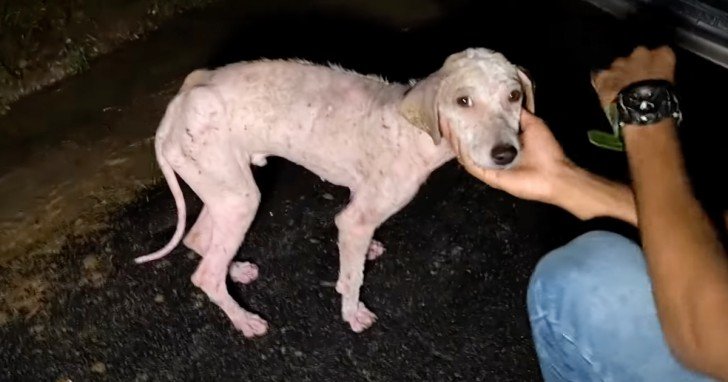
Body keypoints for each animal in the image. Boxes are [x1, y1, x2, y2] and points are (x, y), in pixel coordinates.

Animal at [135, 47, 536, 338]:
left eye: (514, 95)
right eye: (462, 101)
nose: (506, 154)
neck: (414, 130)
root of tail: (175, 107)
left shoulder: (358, 207)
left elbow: (354, 255)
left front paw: (365, 257)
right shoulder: (354, 221)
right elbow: (352, 276)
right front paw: (352, 313)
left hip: (226, 191)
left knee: (200, 240)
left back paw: (236, 269)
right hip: (238, 199)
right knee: (205, 274)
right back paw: (244, 319)